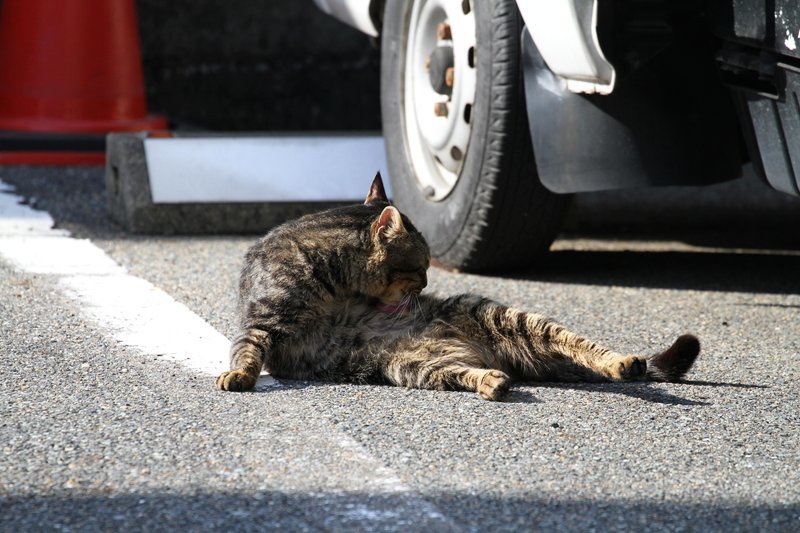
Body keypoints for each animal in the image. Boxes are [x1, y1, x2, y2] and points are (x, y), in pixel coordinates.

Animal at [216, 174, 696, 400]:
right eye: (420, 267)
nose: (429, 282)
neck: (337, 289)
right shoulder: (260, 324)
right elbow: (245, 352)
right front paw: (238, 375)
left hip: (501, 316)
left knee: (584, 346)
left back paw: (623, 363)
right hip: (408, 365)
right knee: (467, 374)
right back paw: (493, 382)